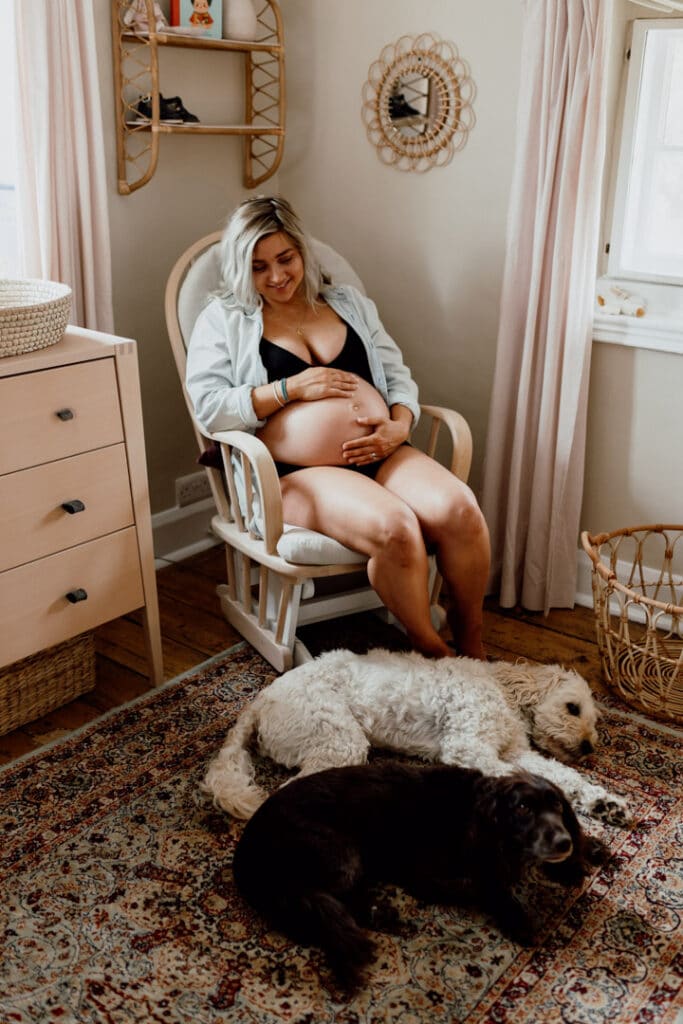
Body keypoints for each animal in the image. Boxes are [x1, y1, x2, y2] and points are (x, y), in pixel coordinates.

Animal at [202, 651, 630, 827]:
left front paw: (604, 802)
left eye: (594, 720)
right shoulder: (468, 746)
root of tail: (259, 701)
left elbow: (563, 776)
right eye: (572, 708)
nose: (589, 746)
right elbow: (513, 777)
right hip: (339, 738)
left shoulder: (516, 751)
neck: (504, 691)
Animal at [232, 761, 606, 991]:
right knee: (335, 896)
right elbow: (484, 885)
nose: (563, 841)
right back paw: (383, 914)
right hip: (342, 850)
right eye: (524, 808)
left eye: (557, 806)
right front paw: (516, 914)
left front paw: (592, 850)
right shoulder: (421, 873)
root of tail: (245, 857)